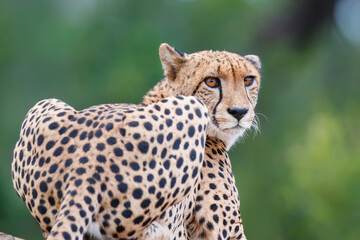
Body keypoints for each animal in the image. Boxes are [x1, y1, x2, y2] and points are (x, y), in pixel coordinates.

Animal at [11, 42, 262, 239]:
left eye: (248, 80)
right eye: (211, 81)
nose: (239, 112)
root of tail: (86, 166)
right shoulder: (225, 230)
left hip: (43, 104)